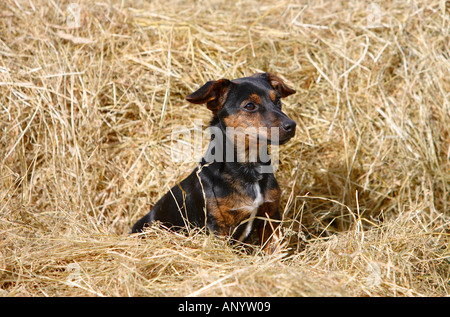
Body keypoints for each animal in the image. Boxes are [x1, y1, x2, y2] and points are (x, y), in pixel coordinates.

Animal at [132, 72, 298, 249]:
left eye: (278, 100)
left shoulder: (270, 217)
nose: (291, 125)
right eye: (250, 106)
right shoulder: (218, 227)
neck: (249, 166)